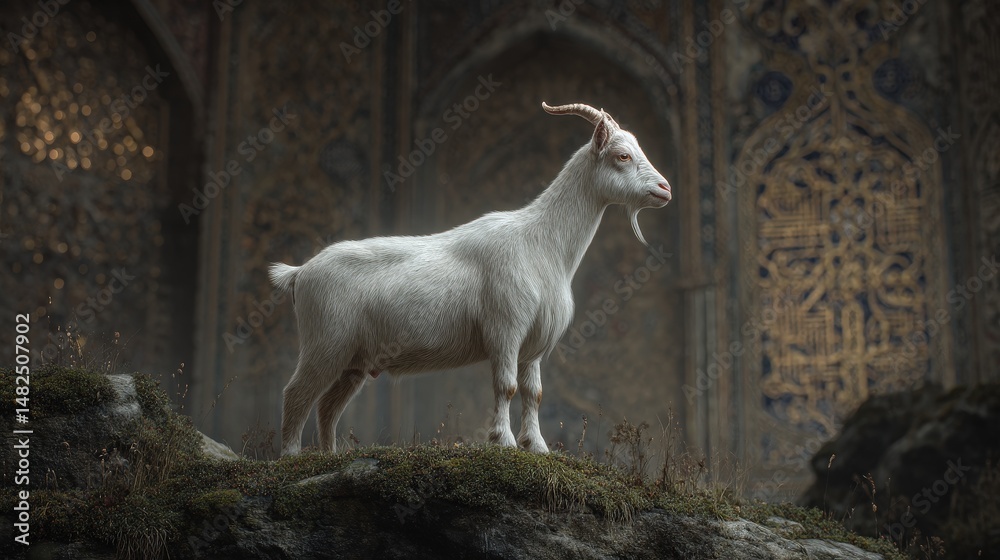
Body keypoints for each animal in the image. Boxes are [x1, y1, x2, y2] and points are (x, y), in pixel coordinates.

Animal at [270, 102, 672, 455]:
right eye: (622, 156)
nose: (665, 189)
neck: (541, 243)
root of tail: (300, 273)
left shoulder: (534, 343)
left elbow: (534, 393)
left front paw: (538, 447)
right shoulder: (506, 329)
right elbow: (506, 386)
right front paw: (504, 442)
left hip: (353, 360)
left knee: (328, 406)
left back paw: (329, 455)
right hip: (325, 344)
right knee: (296, 393)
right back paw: (291, 455)